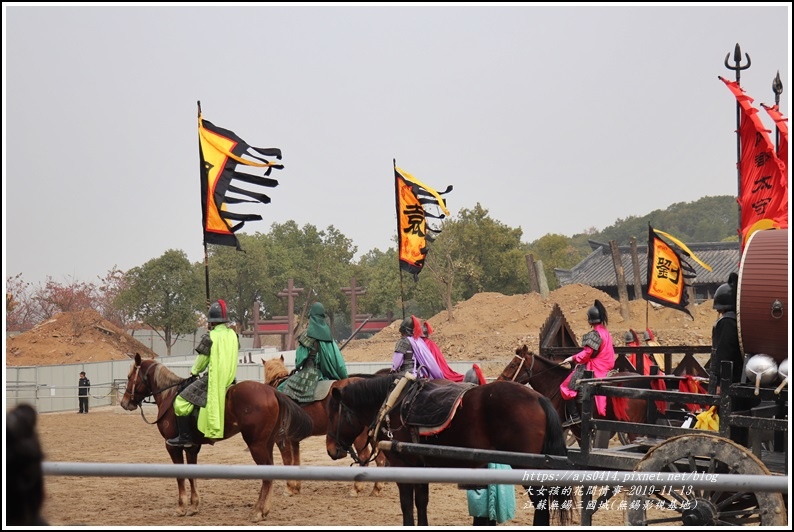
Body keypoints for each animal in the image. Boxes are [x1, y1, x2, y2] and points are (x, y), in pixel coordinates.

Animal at [120, 352, 312, 520]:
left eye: (129, 377)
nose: (124, 403)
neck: (170, 396)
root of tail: (272, 392)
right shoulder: (192, 448)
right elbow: (191, 475)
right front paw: (194, 506)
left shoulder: (172, 446)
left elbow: (180, 476)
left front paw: (181, 507)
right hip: (267, 444)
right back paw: (263, 509)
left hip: (256, 445)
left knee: (266, 475)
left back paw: (258, 511)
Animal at [260, 356, 386, 496]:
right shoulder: (294, 439)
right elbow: (296, 460)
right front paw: (296, 487)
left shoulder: (282, 438)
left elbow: (287, 461)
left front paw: (289, 488)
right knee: (380, 458)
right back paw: (376, 488)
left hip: (360, 437)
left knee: (364, 456)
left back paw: (356, 488)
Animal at [324, 374, 572, 528]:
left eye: (333, 414)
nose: (331, 449)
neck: (393, 404)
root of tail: (539, 398)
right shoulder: (420, 467)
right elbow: (421, 502)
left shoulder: (402, 466)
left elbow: (407, 505)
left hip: (528, 470)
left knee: (541, 506)